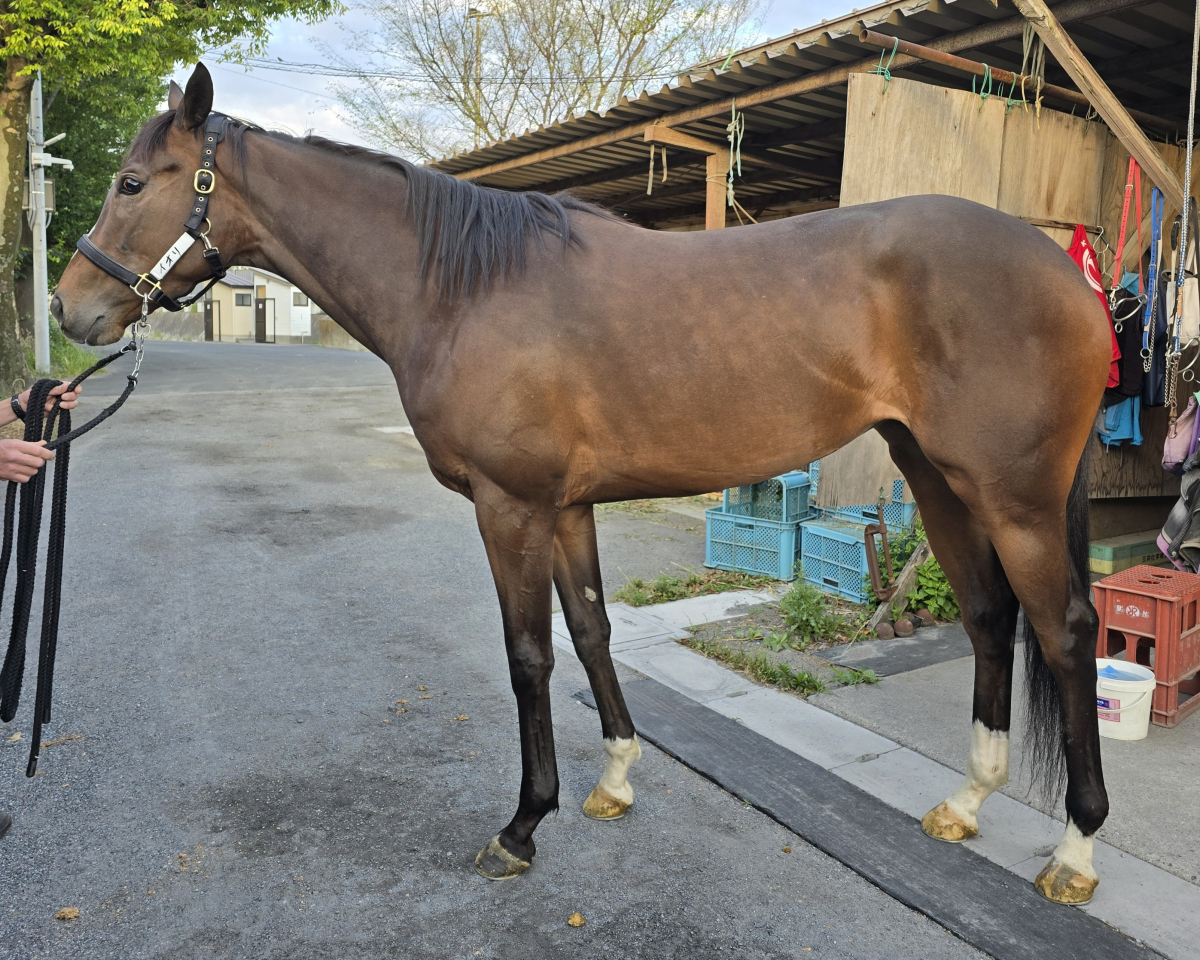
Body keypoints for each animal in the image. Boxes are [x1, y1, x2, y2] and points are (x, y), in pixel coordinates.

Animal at [52, 63, 1111, 903]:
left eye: (132, 182)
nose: (71, 310)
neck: (466, 286)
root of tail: (1065, 271)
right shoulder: (563, 510)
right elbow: (592, 631)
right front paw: (615, 781)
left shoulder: (510, 507)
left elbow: (529, 655)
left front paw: (523, 825)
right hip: (936, 477)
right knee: (988, 616)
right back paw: (965, 801)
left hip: (1011, 496)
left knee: (1063, 633)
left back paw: (1075, 851)